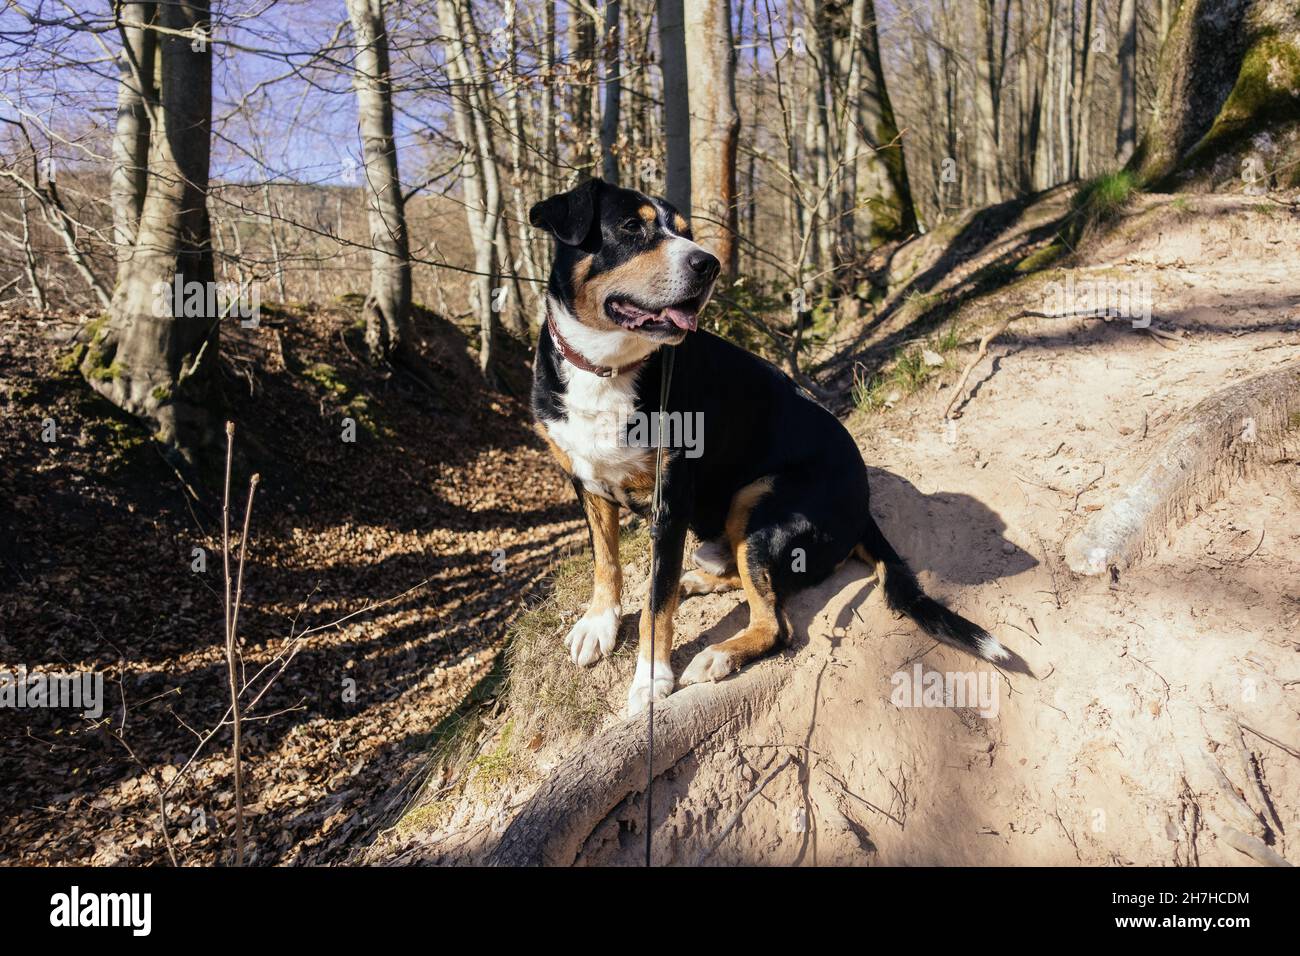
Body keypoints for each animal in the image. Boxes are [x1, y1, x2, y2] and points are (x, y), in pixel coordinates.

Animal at [527, 179, 1003, 717]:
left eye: (687, 232)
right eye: (632, 226)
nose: (708, 264)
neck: (608, 369)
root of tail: (863, 509)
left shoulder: (670, 502)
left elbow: (656, 603)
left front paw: (651, 678)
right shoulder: (585, 480)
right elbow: (606, 563)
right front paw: (600, 623)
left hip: (758, 507)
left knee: (774, 621)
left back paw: (718, 654)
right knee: (742, 580)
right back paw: (699, 582)